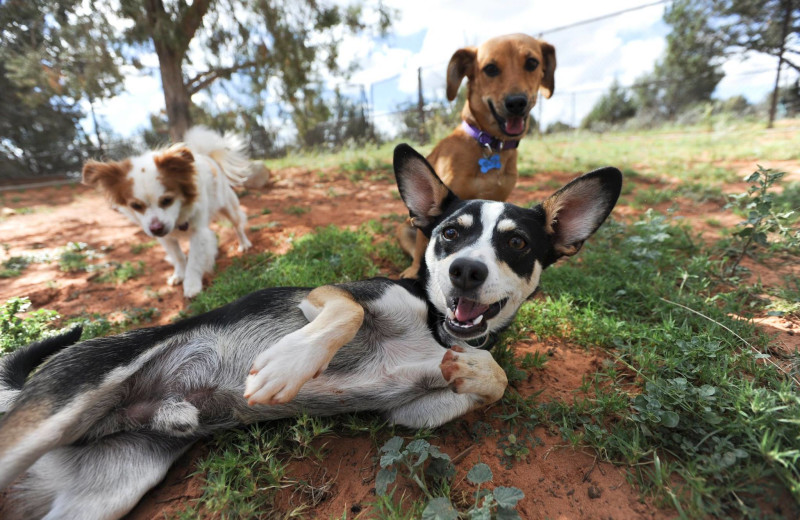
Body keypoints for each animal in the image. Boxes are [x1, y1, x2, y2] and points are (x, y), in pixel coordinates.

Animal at [0, 144, 620, 516]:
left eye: (516, 243)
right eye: (449, 234)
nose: (467, 270)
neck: (435, 325)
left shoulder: (413, 412)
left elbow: (492, 379)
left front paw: (475, 369)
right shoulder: (329, 295)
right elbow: (345, 315)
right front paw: (286, 366)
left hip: (101, 492)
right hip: (57, 410)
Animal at [82, 125, 252, 296]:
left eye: (167, 200)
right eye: (136, 206)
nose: (156, 228)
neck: (178, 219)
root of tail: (206, 155)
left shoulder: (198, 232)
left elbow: (195, 259)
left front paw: (191, 284)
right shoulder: (166, 239)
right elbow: (178, 256)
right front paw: (179, 274)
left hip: (229, 206)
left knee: (237, 225)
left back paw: (244, 244)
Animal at [398, 33, 556, 280]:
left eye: (532, 63)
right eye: (490, 68)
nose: (516, 102)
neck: (490, 146)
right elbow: (423, 248)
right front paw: (414, 272)